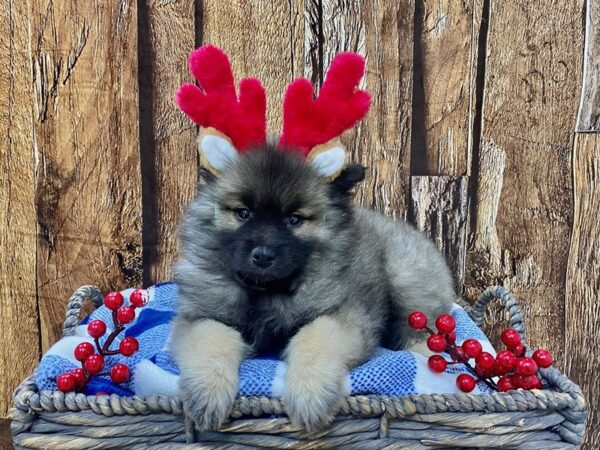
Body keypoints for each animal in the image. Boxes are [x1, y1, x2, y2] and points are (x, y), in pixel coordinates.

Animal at [170, 148, 454, 432]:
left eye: (294, 219)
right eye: (243, 213)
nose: (262, 256)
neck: (267, 290)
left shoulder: (344, 316)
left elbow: (315, 338)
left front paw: (309, 396)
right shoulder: (200, 317)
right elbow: (212, 340)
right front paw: (207, 393)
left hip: (404, 276)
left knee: (423, 326)